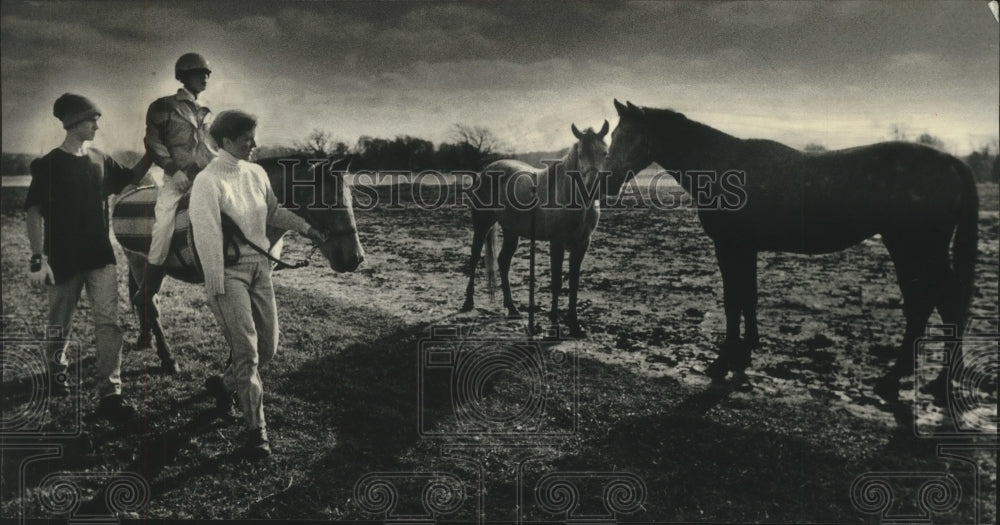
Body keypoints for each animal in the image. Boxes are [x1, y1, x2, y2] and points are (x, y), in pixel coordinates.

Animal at [114, 156, 364, 372]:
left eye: (351, 199)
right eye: (328, 201)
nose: (356, 257)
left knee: (141, 298)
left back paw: (145, 339)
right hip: (141, 263)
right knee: (149, 303)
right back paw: (168, 359)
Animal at [464, 122, 612, 336]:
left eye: (604, 153)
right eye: (580, 154)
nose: (592, 189)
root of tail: (488, 169)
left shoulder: (582, 244)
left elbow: (574, 282)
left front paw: (575, 324)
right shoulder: (556, 243)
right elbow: (557, 282)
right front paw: (554, 324)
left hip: (511, 230)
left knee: (503, 262)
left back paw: (512, 308)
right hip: (482, 224)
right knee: (475, 257)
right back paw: (468, 302)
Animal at [600, 99, 976, 402]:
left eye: (633, 137)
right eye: (613, 137)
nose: (605, 183)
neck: (723, 166)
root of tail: (951, 162)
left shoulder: (731, 247)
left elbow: (734, 299)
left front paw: (723, 360)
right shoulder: (745, 249)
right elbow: (748, 297)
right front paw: (746, 351)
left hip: (915, 248)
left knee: (937, 304)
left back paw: (911, 380)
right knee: (931, 305)